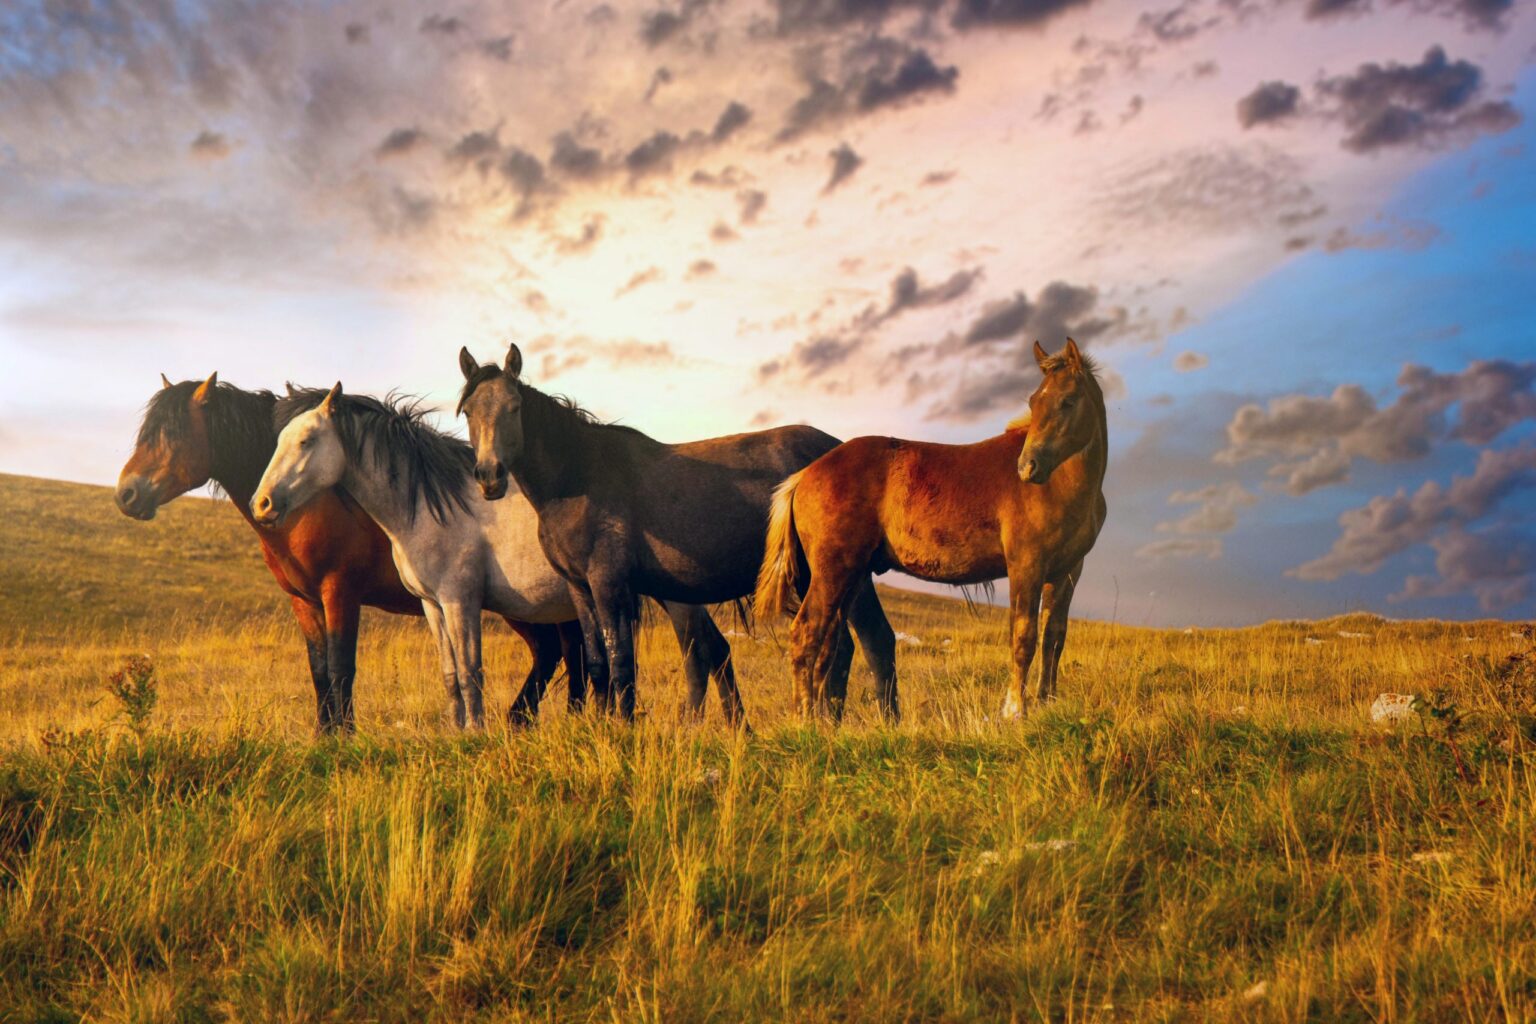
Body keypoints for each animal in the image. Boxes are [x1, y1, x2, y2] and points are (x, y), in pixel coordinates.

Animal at [116, 373, 585, 733]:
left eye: (172, 435)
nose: (126, 494)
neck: (312, 504)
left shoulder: (340, 592)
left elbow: (343, 666)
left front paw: (345, 735)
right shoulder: (304, 601)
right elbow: (320, 670)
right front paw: (324, 734)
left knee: (558, 651)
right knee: (561, 651)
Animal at [250, 384, 743, 729]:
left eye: (307, 441)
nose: (262, 504)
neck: (429, 505)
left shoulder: (459, 601)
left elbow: (471, 671)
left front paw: (477, 733)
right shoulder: (432, 606)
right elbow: (450, 674)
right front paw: (455, 732)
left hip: (679, 599)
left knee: (702, 657)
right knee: (710, 654)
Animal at [455, 343, 900, 722]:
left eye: (514, 407)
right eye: (469, 412)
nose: (489, 477)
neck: (577, 478)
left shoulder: (609, 584)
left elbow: (621, 663)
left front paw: (623, 727)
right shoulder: (580, 588)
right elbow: (598, 664)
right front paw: (600, 726)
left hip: (833, 573)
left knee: (862, 643)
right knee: (860, 642)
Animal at [755, 339, 1108, 718]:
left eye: (1067, 401)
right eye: (1034, 402)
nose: (1028, 467)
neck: (1061, 484)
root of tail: (805, 475)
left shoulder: (1067, 571)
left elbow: (1054, 637)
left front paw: (1046, 702)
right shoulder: (1026, 566)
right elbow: (1024, 636)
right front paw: (1014, 710)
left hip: (850, 576)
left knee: (829, 640)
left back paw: (823, 718)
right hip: (833, 571)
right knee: (806, 633)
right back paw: (804, 717)